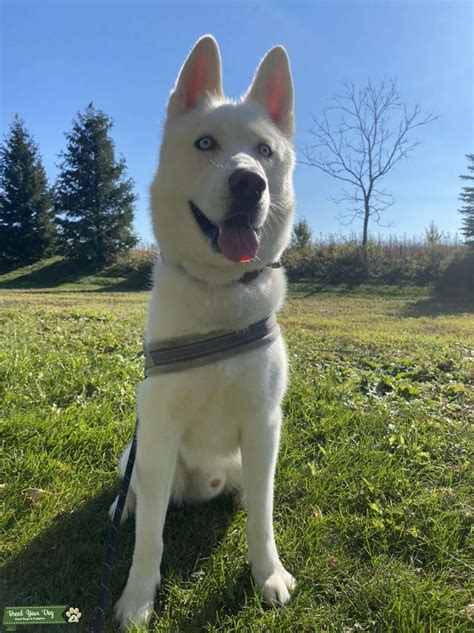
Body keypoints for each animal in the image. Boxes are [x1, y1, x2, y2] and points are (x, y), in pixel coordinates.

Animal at [111, 35, 296, 628]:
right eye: (206, 143)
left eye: (264, 151)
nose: (249, 182)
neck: (220, 292)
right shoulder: (160, 430)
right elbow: (149, 537)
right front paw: (138, 598)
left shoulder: (263, 424)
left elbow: (263, 518)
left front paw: (267, 574)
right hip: (139, 450)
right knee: (138, 497)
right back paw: (121, 506)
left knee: (253, 492)